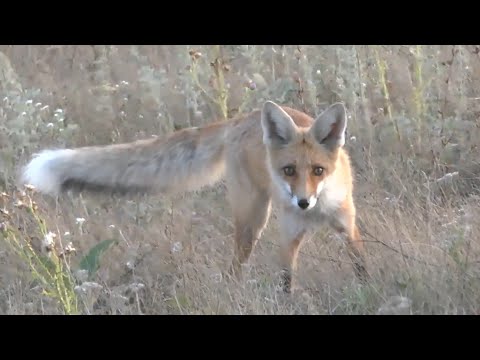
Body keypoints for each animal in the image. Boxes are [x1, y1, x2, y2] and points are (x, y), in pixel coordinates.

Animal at [21, 100, 368, 292]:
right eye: (289, 170)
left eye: (318, 171)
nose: (303, 202)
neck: (318, 212)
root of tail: (242, 118)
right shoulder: (289, 234)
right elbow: (286, 281)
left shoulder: (347, 224)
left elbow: (360, 264)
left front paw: (367, 287)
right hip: (253, 221)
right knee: (235, 266)